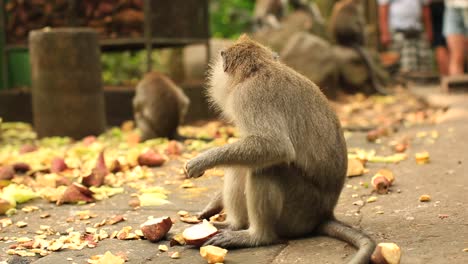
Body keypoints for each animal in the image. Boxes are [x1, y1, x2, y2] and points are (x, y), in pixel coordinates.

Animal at [185, 35, 374, 264]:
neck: (257, 69)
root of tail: (324, 215)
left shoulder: (248, 96)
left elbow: (275, 147)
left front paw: (202, 160)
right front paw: (214, 204)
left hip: (299, 212)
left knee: (267, 168)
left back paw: (257, 236)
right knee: (242, 165)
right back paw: (234, 225)